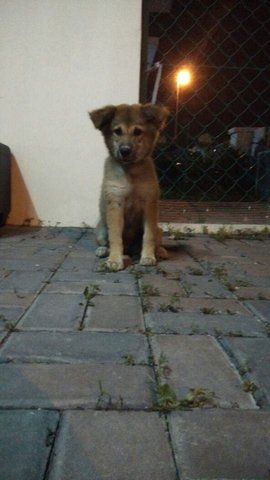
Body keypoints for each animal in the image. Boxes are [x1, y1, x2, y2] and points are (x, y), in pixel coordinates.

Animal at [88, 103, 169, 272]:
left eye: (138, 132)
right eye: (117, 131)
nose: (124, 150)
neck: (131, 170)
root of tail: (130, 249)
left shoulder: (150, 204)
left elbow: (148, 236)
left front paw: (148, 257)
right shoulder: (115, 203)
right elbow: (115, 237)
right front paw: (114, 259)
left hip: (159, 229)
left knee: (156, 239)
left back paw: (160, 251)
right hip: (100, 229)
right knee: (105, 241)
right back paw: (103, 250)